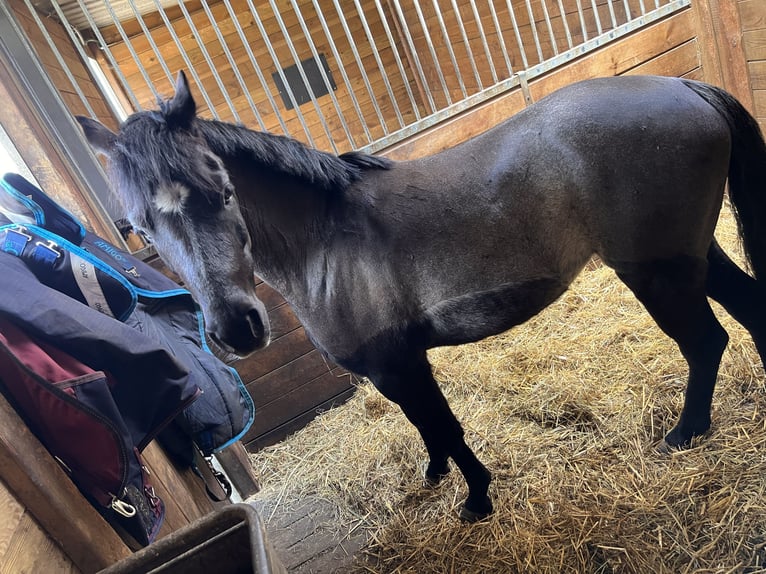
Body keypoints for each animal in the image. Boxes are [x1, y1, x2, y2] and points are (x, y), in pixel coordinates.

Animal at [79, 71, 766, 520]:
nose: (238, 329)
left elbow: (446, 426)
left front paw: (476, 499)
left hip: (657, 271)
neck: (324, 238)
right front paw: (434, 477)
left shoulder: (399, 362)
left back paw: (686, 433)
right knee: (752, 311)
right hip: (693, 255)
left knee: (707, 341)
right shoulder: (394, 370)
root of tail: (682, 87)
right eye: (142, 226)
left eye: (222, 191)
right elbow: (424, 427)